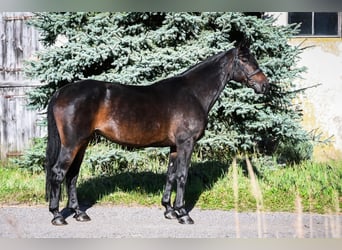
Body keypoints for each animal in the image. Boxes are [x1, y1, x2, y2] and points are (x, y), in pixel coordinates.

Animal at [46, 44, 270, 225]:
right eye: (245, 60)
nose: (265, 85)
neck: (193, 93)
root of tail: (61, 92)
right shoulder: (186, 143)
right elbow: (182, 175)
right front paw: (183, 214)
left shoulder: (174, 146)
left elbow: (170, 175)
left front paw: (169, 210)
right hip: (72, 144)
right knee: (58, 172)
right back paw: (57, 216)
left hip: (82, 143)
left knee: (72, 175)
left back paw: (79, 213)